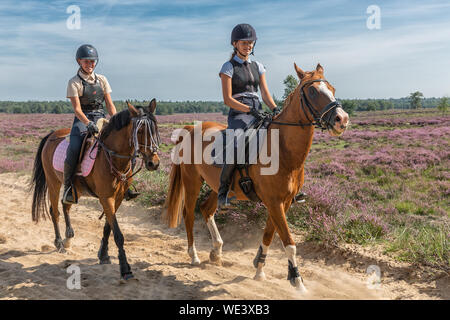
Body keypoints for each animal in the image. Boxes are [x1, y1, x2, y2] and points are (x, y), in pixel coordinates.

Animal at [30, 101, 160, 282]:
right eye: (140, 131)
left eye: (155, 129)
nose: (154, 163)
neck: (113, 158)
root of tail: (52, 135)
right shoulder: (106, 198)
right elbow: (118, 234)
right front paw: (125, 269)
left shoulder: (118, 197)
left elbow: (108, 227)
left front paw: (103, 254)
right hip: (53, 181)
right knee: (54, 211)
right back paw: (59, 243)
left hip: (73, 188)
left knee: (65, 205)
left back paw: (68, 237)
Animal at [163, 63, 350, 292]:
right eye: (313, 91)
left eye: (332, 88)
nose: (342, 119)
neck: (282, 150)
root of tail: (191, 129)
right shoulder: (274, 202)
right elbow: (289, 242)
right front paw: (297, 280)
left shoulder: (283, 202)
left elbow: (269, 234)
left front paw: (259, 269)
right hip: (192, 183)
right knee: (189, 214)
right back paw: (194, 256)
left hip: (219, 187)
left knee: (206, 209)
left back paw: (216, 251)